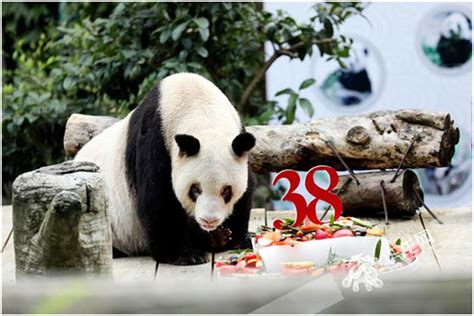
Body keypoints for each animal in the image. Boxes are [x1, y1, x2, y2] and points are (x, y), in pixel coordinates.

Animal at [75, 73, 256, 264]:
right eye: (195, 189)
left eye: (226, 191)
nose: (209, 221)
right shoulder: (155, 139)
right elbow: (158, 198)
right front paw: (185, 254)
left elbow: (247, 189)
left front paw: (238, 238)